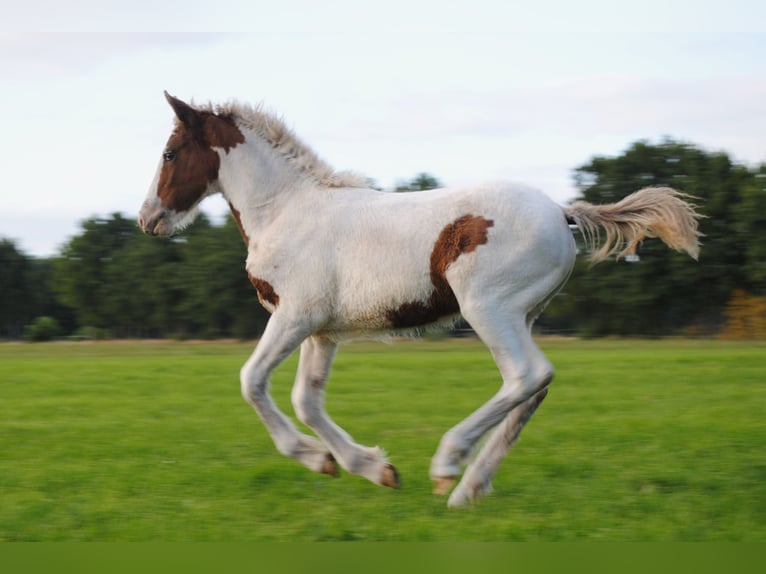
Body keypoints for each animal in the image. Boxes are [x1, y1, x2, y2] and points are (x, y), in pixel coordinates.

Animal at [139, 92, 701, 507]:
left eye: (169, 154)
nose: (148, 219)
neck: (287, 210)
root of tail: (562, 212)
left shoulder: (295, 316)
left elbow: (252, 381)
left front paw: (318, 458)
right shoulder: (321, 330)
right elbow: (307, 399)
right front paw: (369, 467)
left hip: (489, 309)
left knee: (527, 376)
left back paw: (449, 464)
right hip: (523, 315)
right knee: (535, 389)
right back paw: (469, 490)